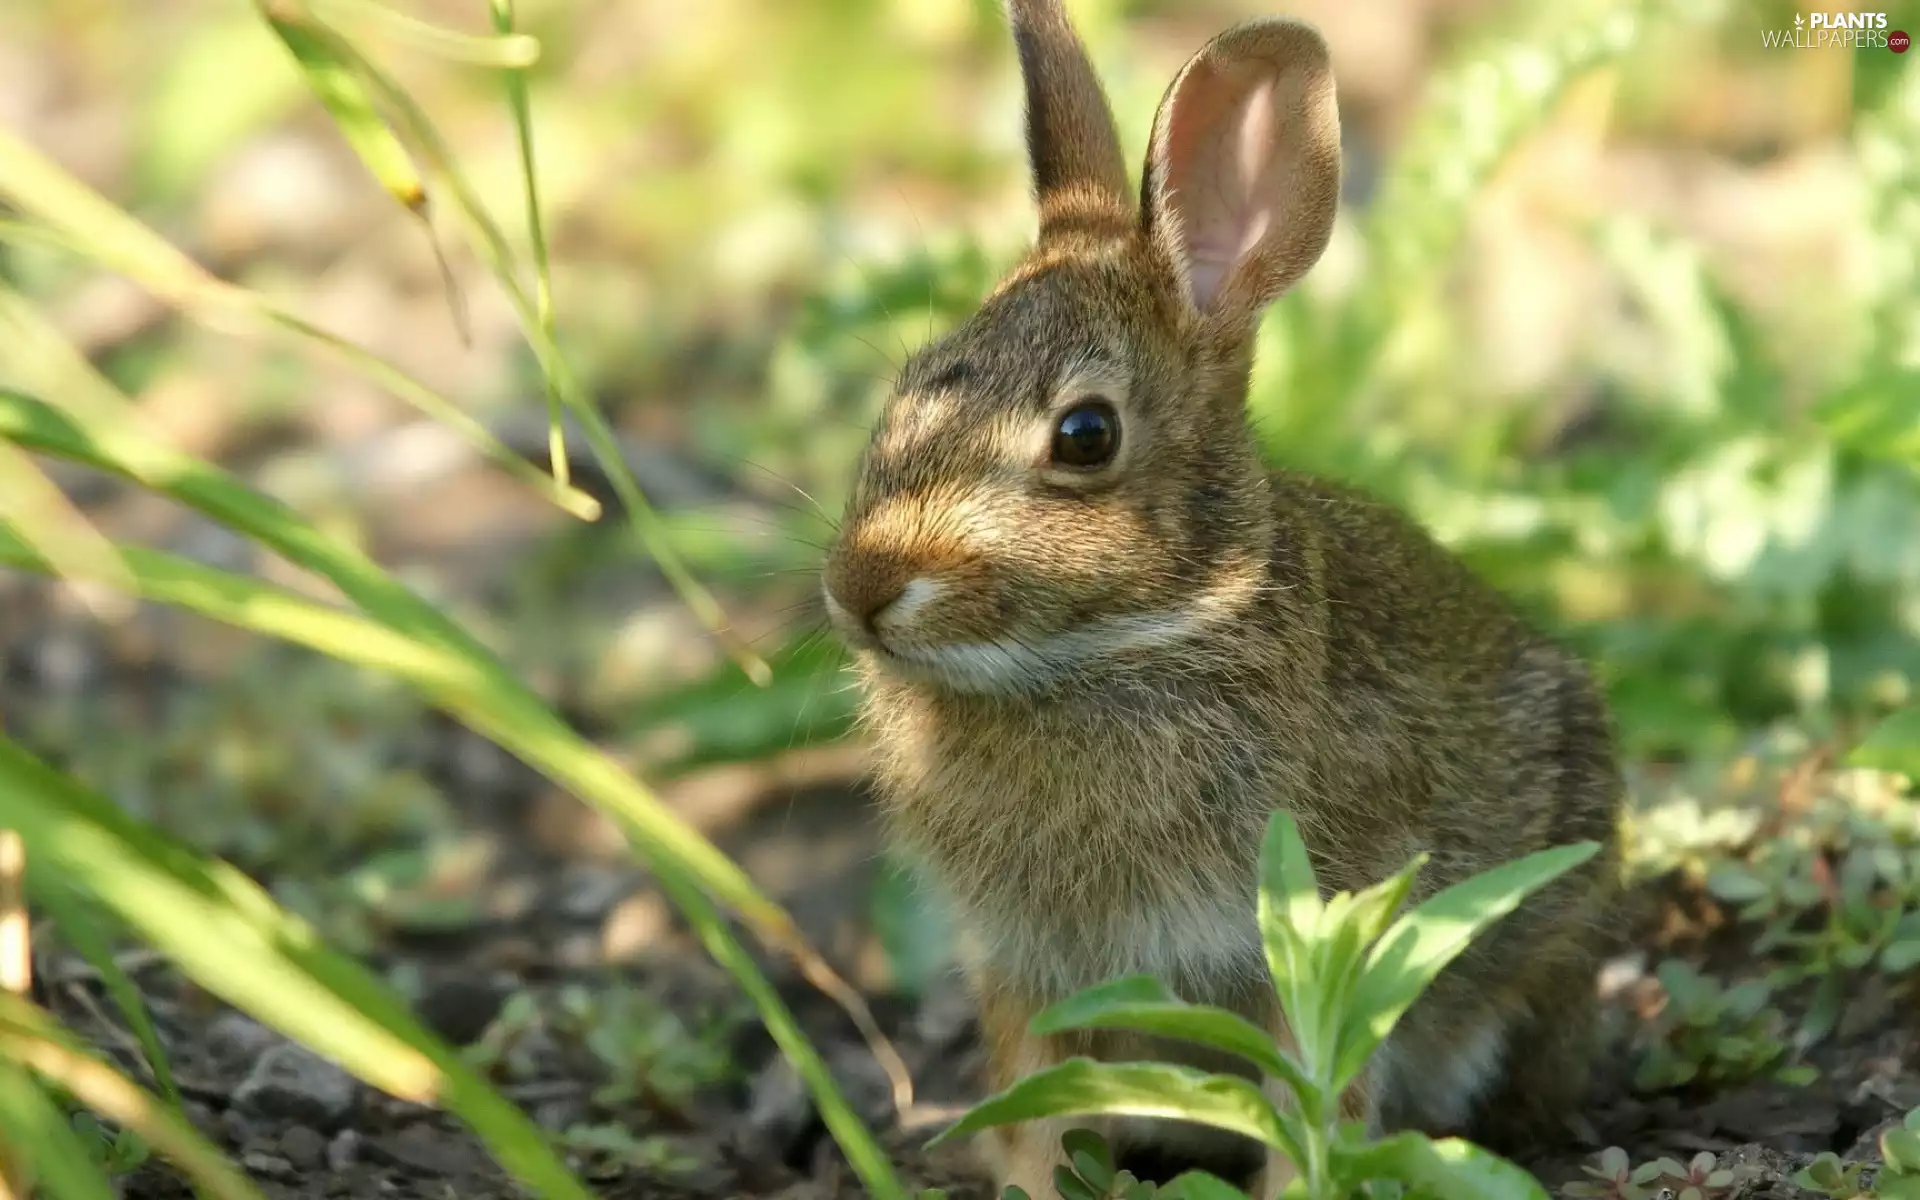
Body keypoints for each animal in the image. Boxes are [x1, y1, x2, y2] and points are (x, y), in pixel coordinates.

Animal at [818, 0, 1626, 1195]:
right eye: (908, 384)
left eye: (1085, 436)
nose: (858, 588)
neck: (1124, 643)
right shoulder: (1026, 968)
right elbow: (1037, 1104)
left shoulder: (1317, 927)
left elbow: (1315, 1098)